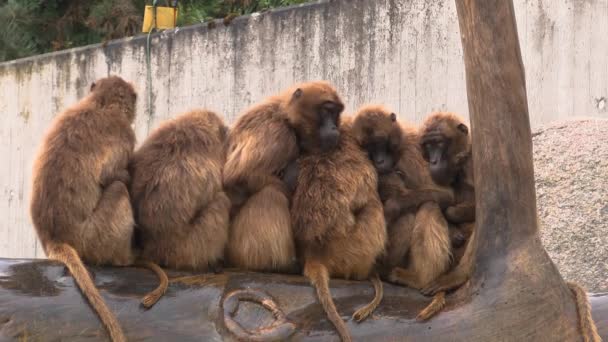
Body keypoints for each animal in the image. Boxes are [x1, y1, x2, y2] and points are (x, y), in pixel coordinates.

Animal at [30, 76, 163, 340]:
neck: (99, 104)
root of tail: (53, 238)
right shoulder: (124, 133)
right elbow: (111, 175)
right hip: (93, 237)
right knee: (118, 188)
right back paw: (125, 259)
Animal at [350, 105, 454, 320]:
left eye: (380, 143)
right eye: (369, 147)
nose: (379, 160)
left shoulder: (412, 148)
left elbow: (446, 195)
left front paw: (393, 205)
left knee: (428, 205)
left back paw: (420, 279)